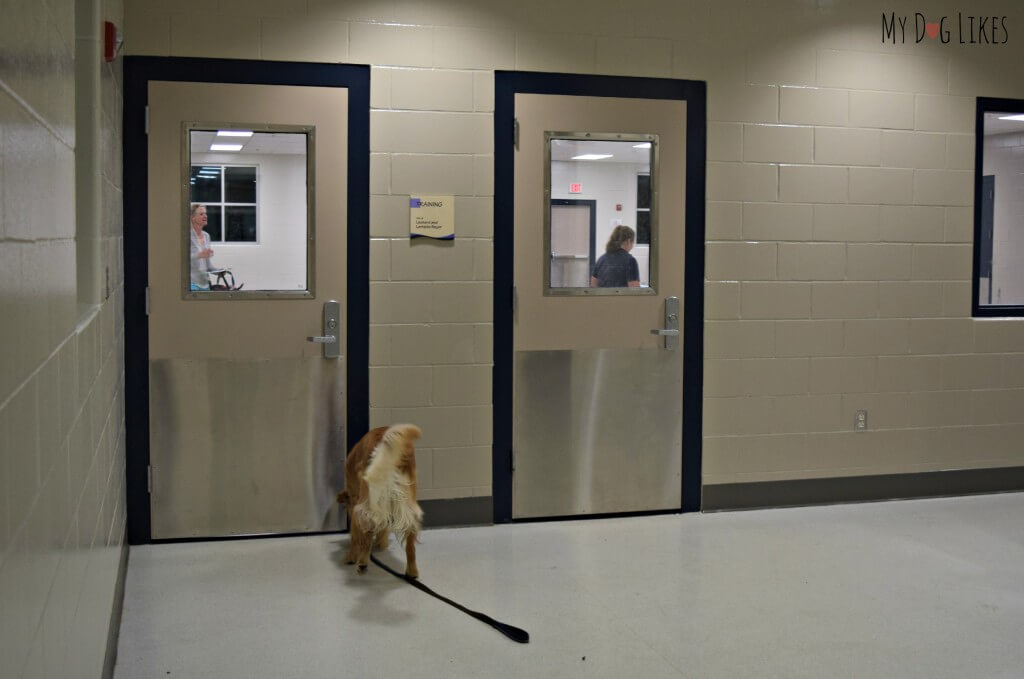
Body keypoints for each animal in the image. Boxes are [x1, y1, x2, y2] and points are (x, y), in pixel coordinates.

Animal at [337, 428, 421, 577]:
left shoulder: (356, 502)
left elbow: (356, 535)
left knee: (367, 530)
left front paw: (352, 556)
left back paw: (362, 562)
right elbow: (383, 528)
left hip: (367, 498)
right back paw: (412, 571)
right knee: (410, 540)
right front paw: (381, 543)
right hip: (408, 500)